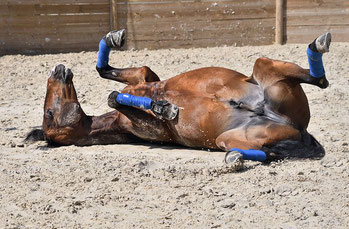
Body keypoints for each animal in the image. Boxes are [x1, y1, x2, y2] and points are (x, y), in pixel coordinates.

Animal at [26, 52, 326, 162]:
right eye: (49, 114)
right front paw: (164, 108)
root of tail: (296, 127)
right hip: (228, 139)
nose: (57, 69)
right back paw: (237, 158)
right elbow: (115, 98)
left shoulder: (145, 79)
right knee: (269, 152)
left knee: (318, 80)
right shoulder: (152, 130)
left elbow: (114, 80)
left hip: (262, 68)